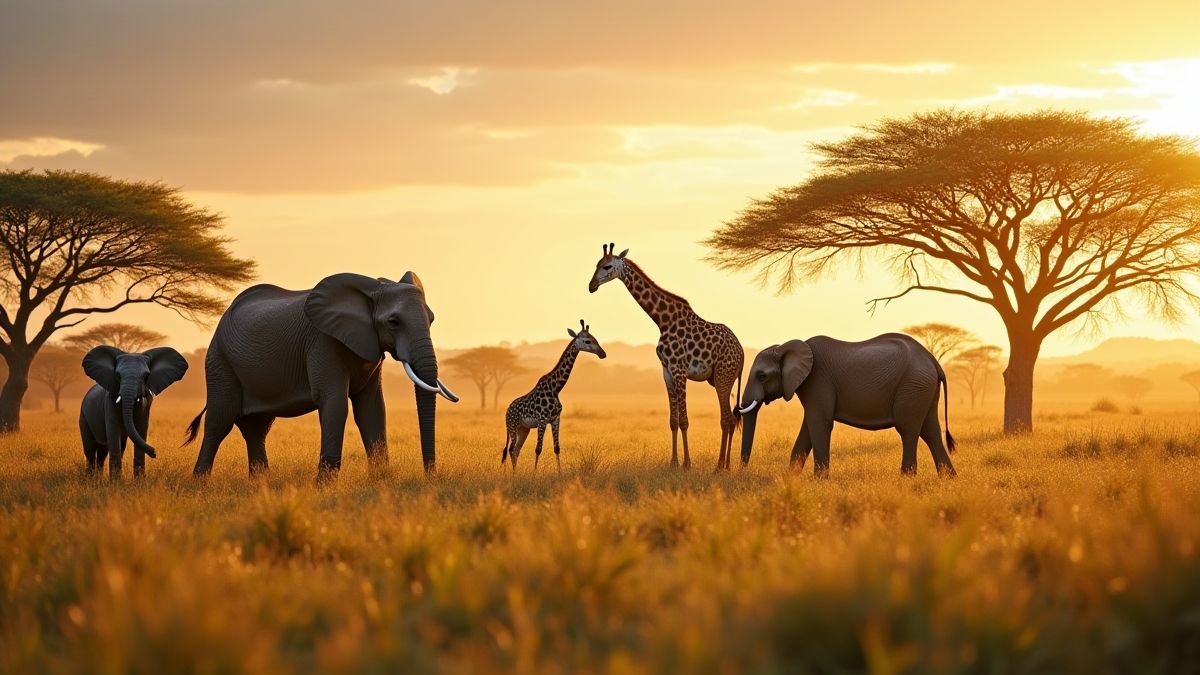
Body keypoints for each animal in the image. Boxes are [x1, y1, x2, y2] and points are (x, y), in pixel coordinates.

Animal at [79, 346, 189, 479]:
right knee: (90, 450)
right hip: (83, 416)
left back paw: (97, 479)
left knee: (103, 452)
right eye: (117, 375)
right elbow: (114, 434)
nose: (154, 452)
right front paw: (115, 482)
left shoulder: (146, 405)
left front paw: (139, 481)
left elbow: (140, 430)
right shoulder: (109, 401)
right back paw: (90, 479)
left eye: (146, 375)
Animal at [185, 272, 459, 480]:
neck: (372, 289)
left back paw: (260, 485)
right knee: (220, 421)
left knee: (257, 428)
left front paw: (381, 481)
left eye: (431, 320)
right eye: (393, 322)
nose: (430, 476)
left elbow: (371, 408)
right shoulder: (322, 342)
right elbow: (334, 404)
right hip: (219, 361)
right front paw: (325, 486)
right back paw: (201, 485)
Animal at [737, 333, 957, 477]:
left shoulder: (818, 381)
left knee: (908, 430)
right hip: (922, 388)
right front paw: (791, 479)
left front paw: (819, 482)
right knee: (930, 431)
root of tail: (934, 361)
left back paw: (906, 479)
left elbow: (820, 424)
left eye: (762, 376)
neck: (784, 347)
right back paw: (949, 480)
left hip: (913, 386)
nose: (742, 470)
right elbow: (808, 428)